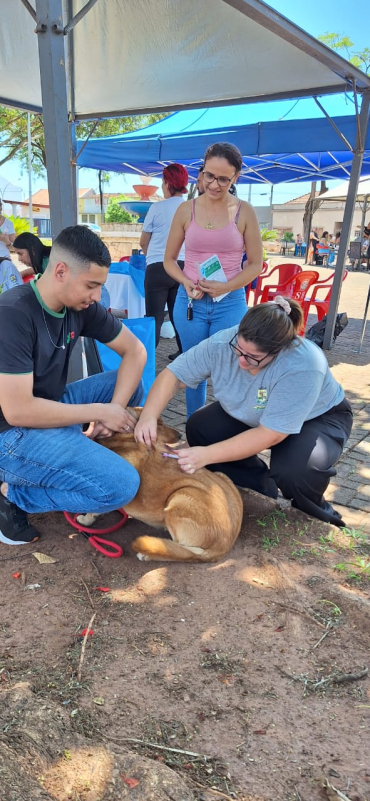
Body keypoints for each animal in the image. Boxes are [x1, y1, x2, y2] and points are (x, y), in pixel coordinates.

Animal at [78, 410, 243, 560]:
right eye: (159, 424)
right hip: (222, 477)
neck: (125, 440)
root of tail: (223, 547)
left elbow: (93, 510)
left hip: (179, 498)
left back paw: (150, 553)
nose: (181, 435)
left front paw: (85, 520)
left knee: (181, 552)